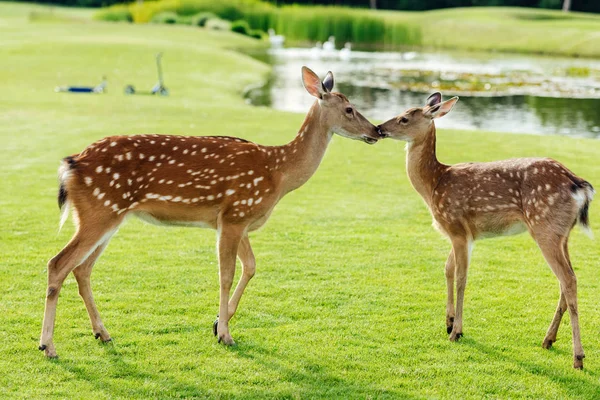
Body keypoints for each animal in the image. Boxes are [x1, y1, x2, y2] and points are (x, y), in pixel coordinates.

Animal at [39, 67, 380, 358]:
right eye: (349, 108)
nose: (376, 130)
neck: (279, 173)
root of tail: (70, 164)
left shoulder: (236, 219)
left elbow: (251, 267)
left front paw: (218, 322)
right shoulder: (235, 215)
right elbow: (226, 274)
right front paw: (225, 334)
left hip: (108, 216)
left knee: (82, 269)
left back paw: (102, 333)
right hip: (100, 211)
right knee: (58, 263)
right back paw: (48, 345)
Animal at [380, 91, 596, 368]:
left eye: (404, 118)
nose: (379, 128)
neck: (434, 185)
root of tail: (578, 184)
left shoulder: (457, 227)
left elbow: (461, 277)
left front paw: (457, 331)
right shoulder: (460, 233)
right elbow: (447, 269)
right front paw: (448, 322)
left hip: (544, 226)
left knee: (568, 279)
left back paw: (577, 357)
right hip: (563, 233)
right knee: (567, 279)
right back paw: (548, 340)